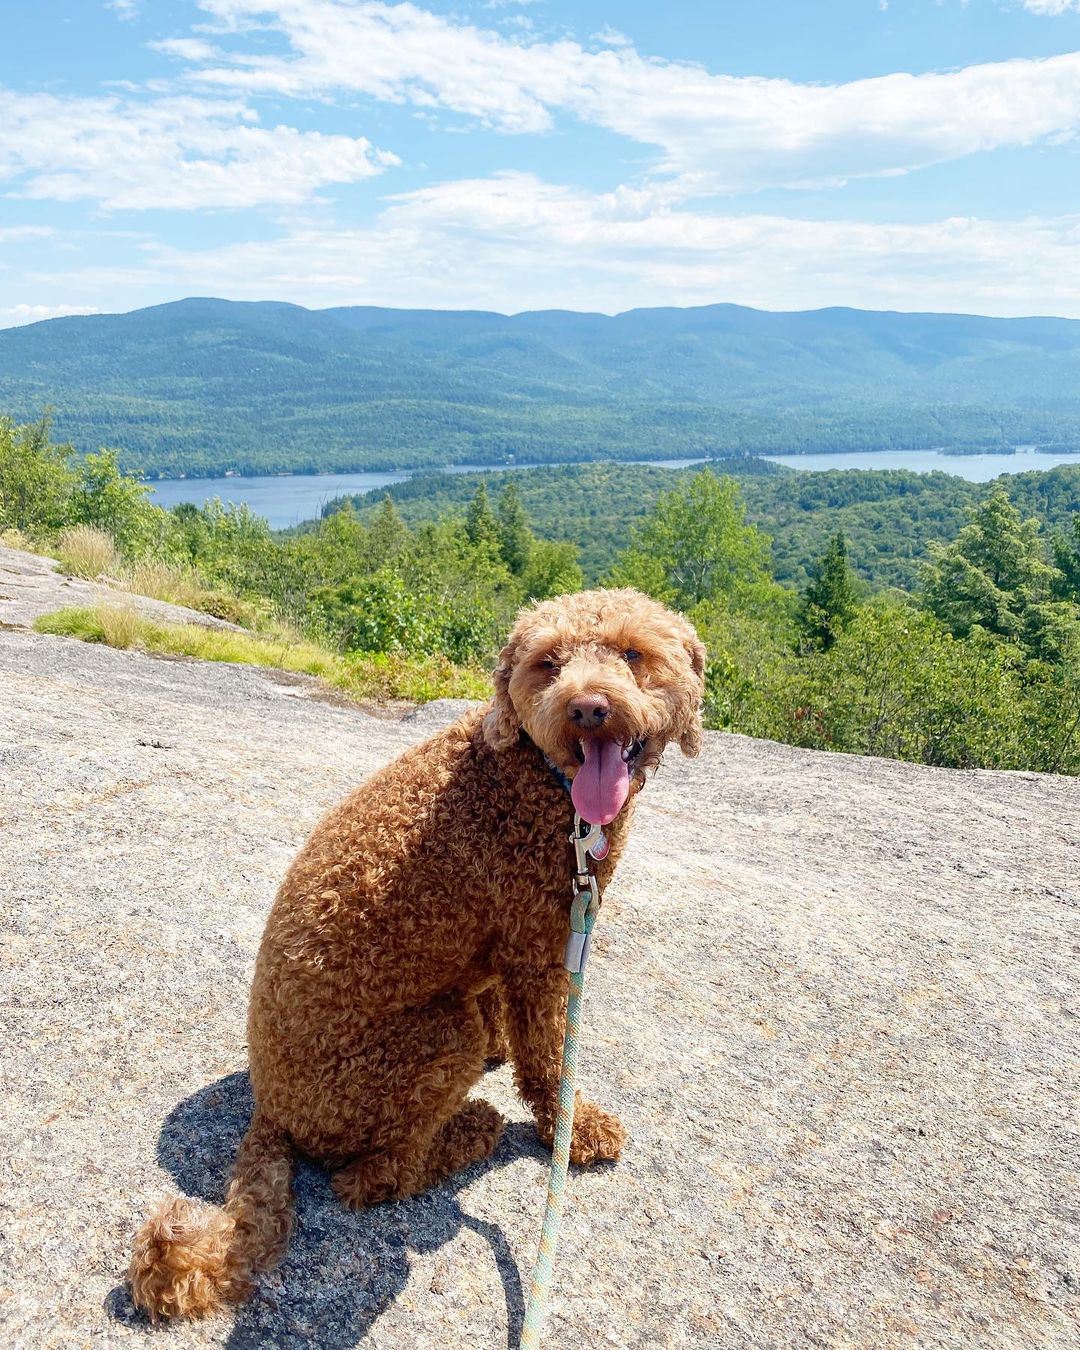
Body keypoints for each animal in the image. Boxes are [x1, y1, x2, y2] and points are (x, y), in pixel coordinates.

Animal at [128, 588, 702, 1317]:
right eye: (548, 663)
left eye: (633, 654)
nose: (588, 708)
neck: (541, 781)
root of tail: (271, 1112)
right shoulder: (539, 945)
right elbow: (547, 1058)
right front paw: (570, 1128)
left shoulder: (505, 942)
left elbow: (503, 1012)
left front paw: (507, 1045)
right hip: (425, 1048)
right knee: (368, 1178)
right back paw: (471, 1132)